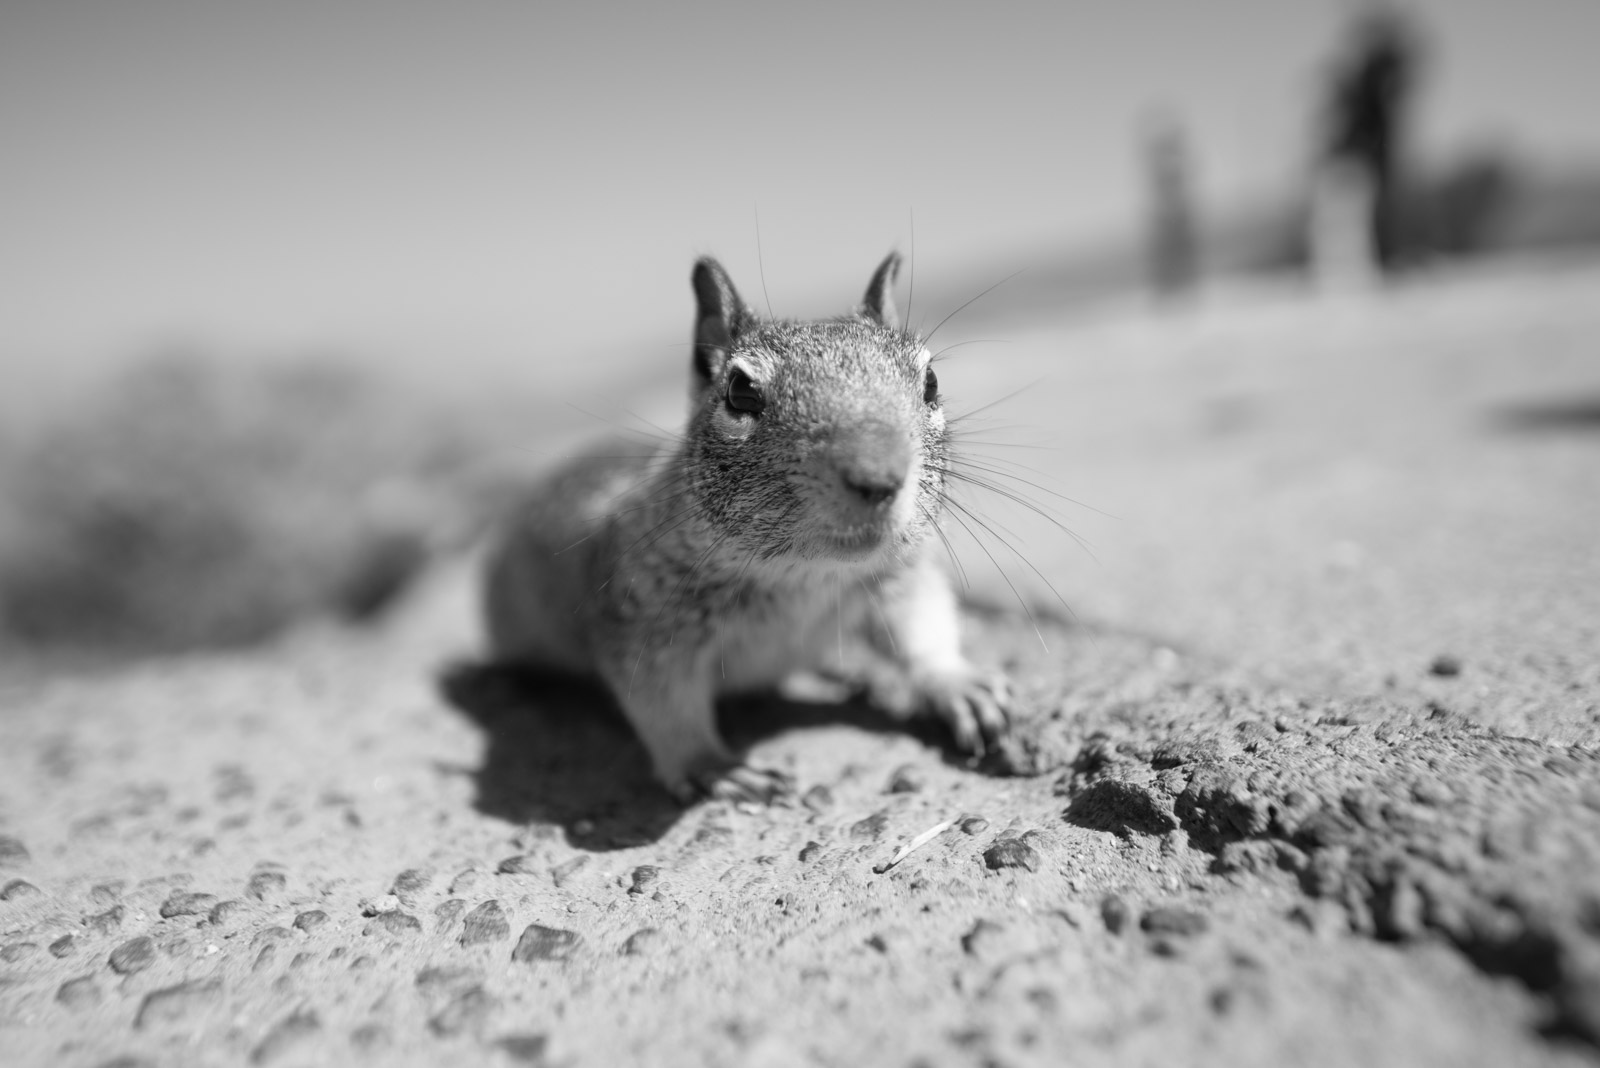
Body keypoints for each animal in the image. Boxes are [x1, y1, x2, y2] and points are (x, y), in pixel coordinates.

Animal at [481, 253, 1010, 803]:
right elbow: (665, 705)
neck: (805, 574)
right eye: (739, 392)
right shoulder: (644, 622)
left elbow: (923, 630)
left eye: (931, 382)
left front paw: (959, 685)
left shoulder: (902, 579)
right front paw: (714, 766)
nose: (877, 477)